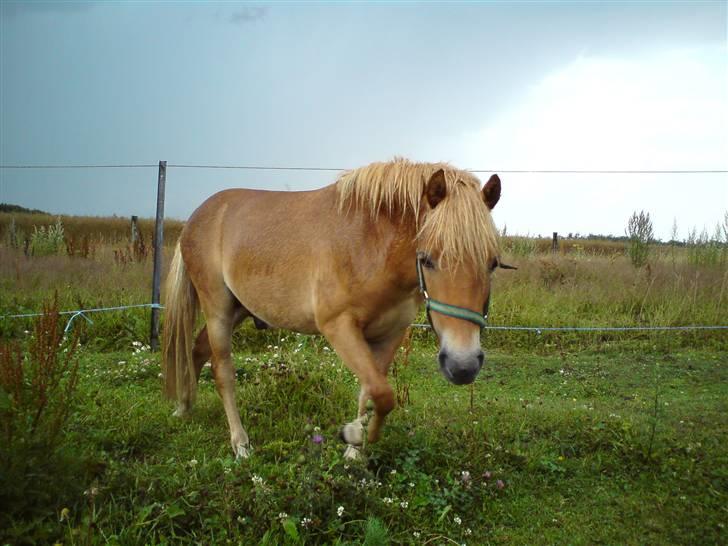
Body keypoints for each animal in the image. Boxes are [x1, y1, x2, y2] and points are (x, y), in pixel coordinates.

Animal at [164, 157, 506, 460]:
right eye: (427, 260)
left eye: (492, 263)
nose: (462, 366)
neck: (369, 244)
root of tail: (195, 218)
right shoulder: (339, 326)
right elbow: (382, 393)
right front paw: (354, 434)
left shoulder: (390, 335)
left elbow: (373, 391)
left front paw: (354, 451)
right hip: (218, 310)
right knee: (223, 372)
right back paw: (241, 444)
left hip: (239, 310)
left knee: (196, 350)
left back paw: (184, 406)